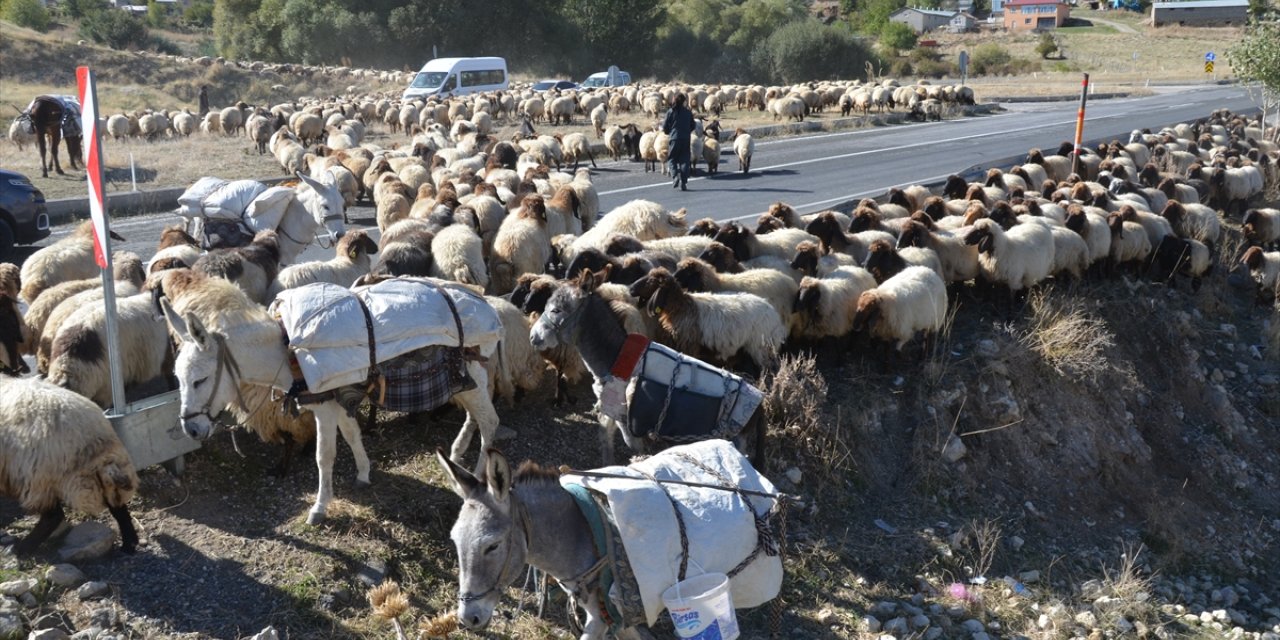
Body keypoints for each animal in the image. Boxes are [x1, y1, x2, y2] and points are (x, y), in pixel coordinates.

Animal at [157, 270, 501, 524]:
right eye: (178, 379)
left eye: (200, 380)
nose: (191, 429)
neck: (286, 350)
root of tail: (485, 303)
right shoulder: (338, 401)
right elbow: (352, 435)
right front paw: (363, 474)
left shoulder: (323, 406)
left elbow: (324, 456)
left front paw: (320, 508)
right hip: (466, 380)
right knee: (476, 415)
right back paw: (456, 453)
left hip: (471, 373)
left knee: (490, 420)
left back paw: (478, 477)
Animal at [527, 264, 762, 465]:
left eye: (556, 310)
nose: (533, 337)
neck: (616, 355)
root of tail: (758, 404)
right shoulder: (611, 410)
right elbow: (605, 442)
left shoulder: (628, 423)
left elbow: (636, 449)